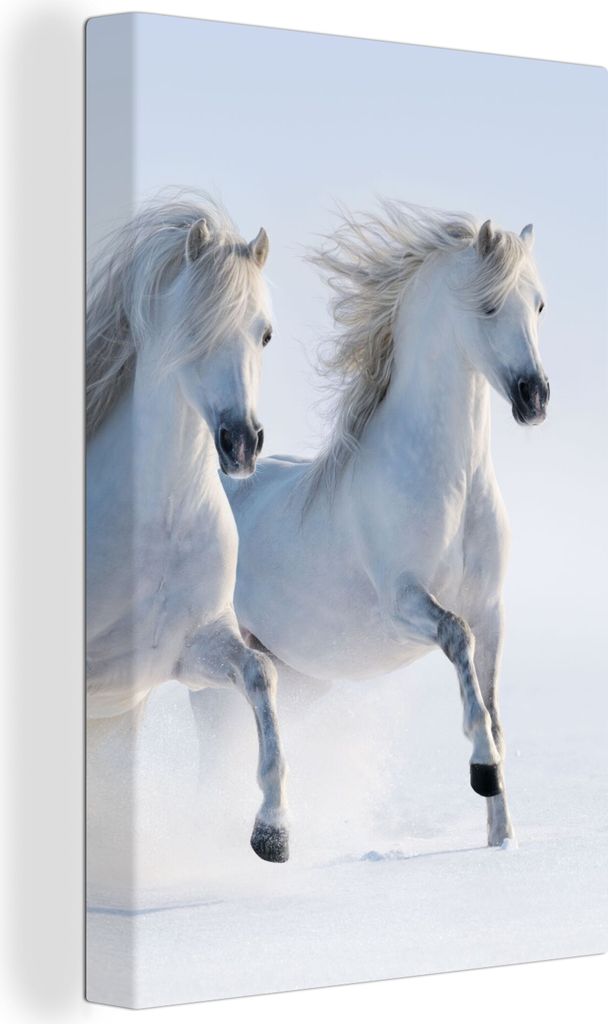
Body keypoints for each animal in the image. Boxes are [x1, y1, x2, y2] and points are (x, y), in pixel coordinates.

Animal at [86, 195, 289, 863]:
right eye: (195, 329)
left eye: (265, 332)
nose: (241, 442)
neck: (159, 527)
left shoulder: (188, 650)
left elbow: (261, 675)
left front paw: (272, 831)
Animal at [192, 200, 550, 852]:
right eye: (489, 306)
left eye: (538, 305)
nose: (534, 397)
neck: (450, 483)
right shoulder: (405, 603)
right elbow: (458, 641)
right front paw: (481, 770)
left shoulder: (493, 609)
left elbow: (494, 707)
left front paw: (501, 838)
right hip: (211, 677)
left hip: (299, 678)